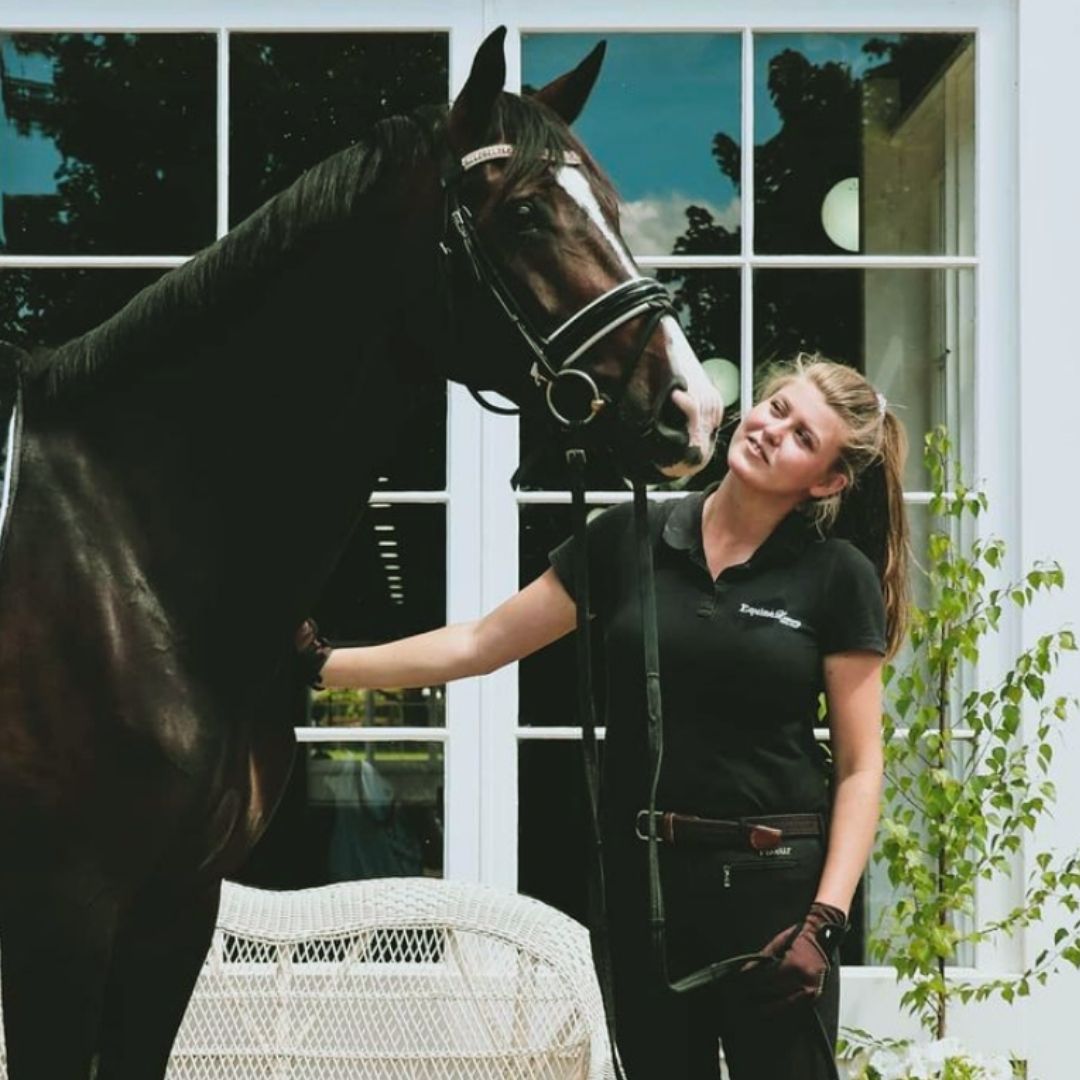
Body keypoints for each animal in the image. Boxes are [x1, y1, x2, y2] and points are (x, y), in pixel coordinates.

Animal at [0, 27, 722, 1079]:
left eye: (615, 207)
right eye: (526, 214)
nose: (691, 411)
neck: (120, 554)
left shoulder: (172, 915)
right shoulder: (61, 920)